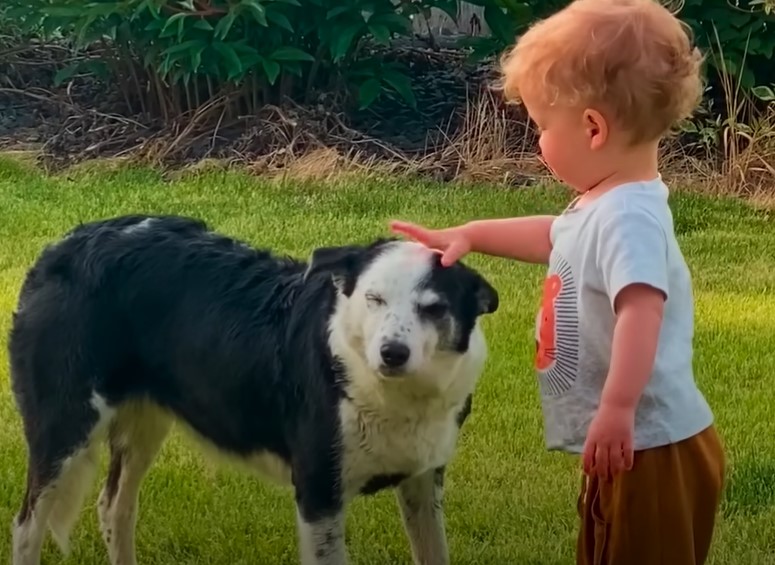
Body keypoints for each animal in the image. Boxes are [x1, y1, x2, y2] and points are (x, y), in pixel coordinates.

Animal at [9, 215, 500, 564]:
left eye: (433, 309)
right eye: (374, 299)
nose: (392, 353)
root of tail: (63, 246)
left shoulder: (422, 480)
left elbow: (434, 552)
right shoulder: (319, 494)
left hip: (143, 423)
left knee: (113, 508)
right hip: (64, 426)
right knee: (27, 526)